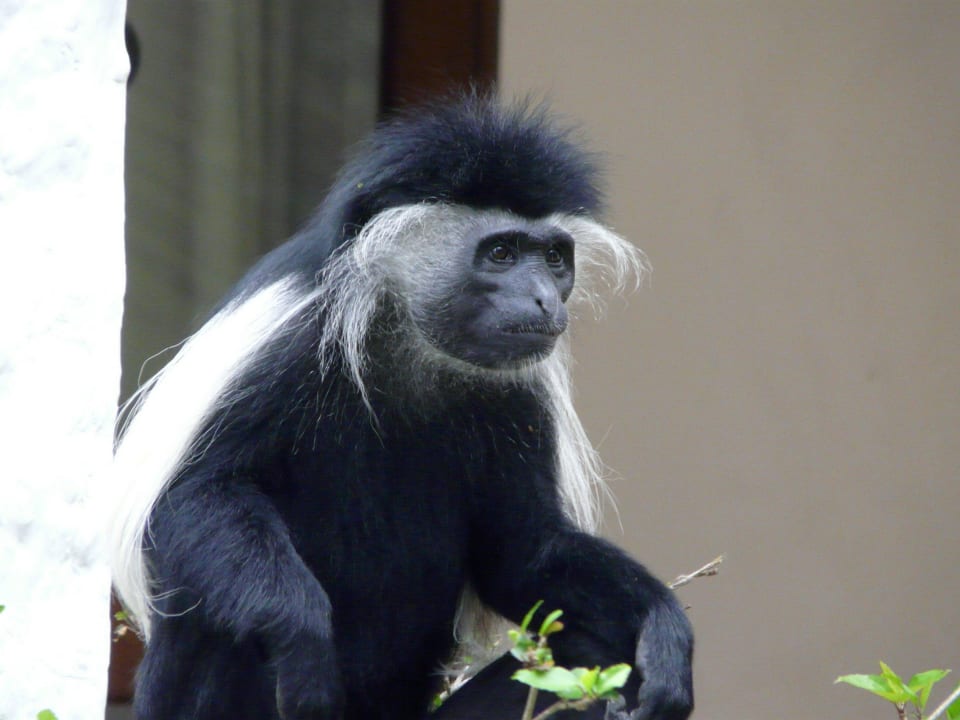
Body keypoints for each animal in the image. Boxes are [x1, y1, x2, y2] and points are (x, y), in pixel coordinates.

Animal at [109, 94, 693, 720]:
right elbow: (192, 496)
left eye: (555, 258)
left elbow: (523, 554)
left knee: (595, 649)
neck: (408, 341)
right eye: (502, 253)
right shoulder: (289, 343)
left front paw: (664, 630)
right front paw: (300, 636)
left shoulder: (518, 396)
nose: (543, 298)